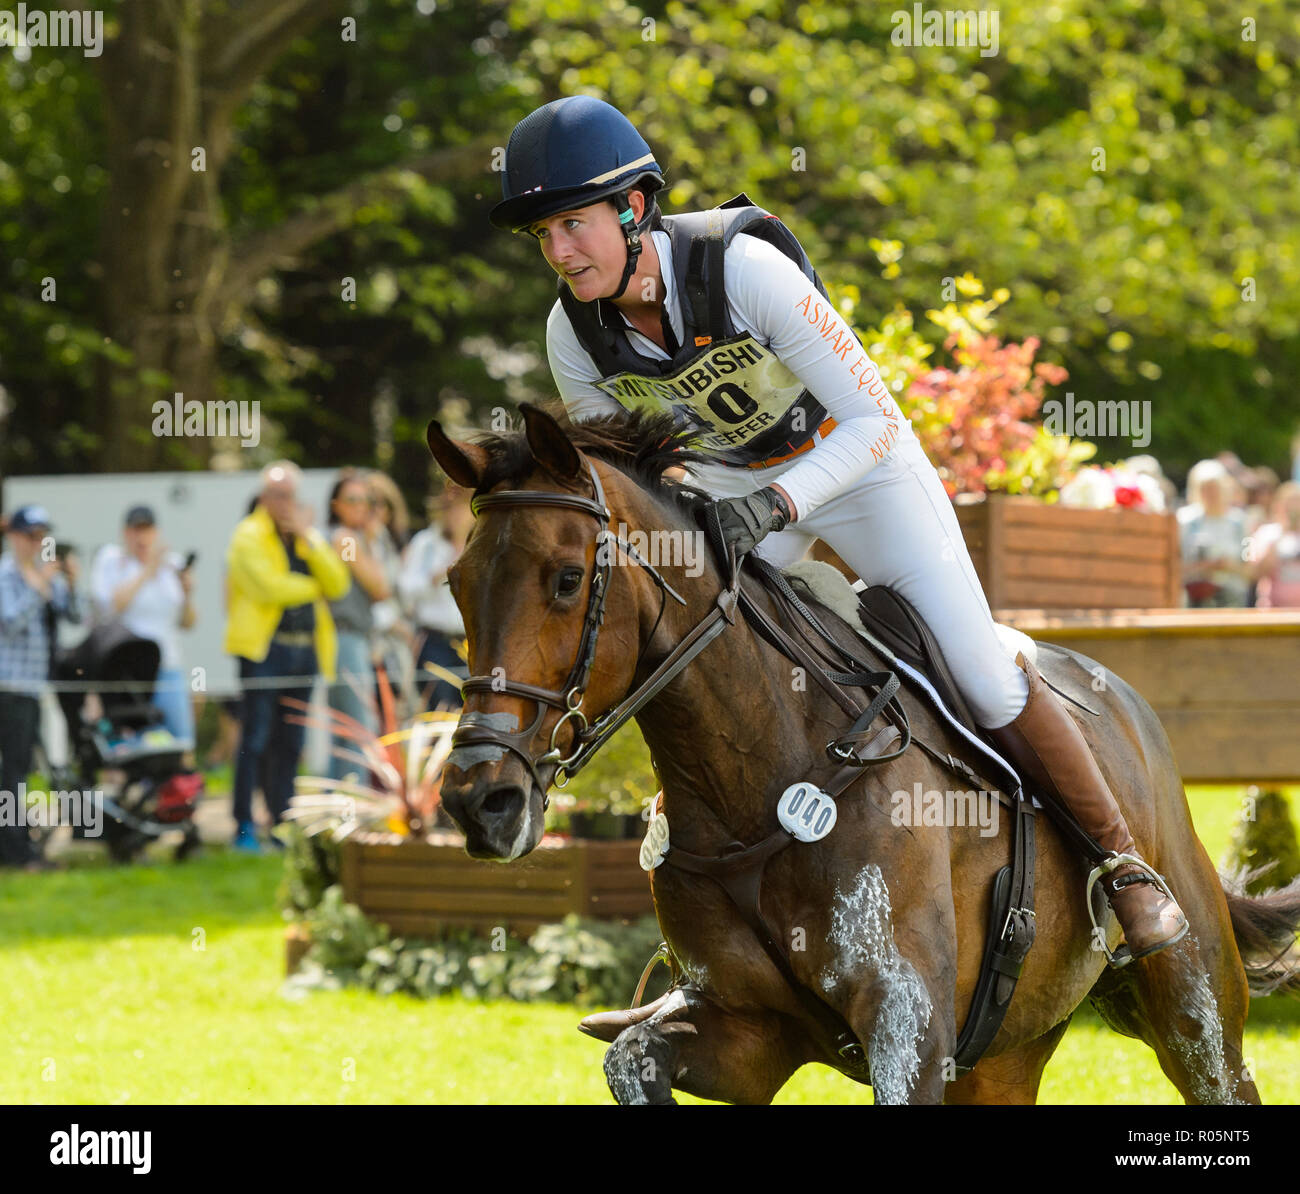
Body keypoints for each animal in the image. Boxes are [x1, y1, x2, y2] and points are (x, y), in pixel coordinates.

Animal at [428, 405, 1300, 1108]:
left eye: (567, 579)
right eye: (456, 584)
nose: (479, 800)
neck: (753, 770)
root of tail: (1122, 699)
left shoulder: (906, 1030)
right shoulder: (746, 1032)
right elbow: (632, 1057)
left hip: (1196, 1017)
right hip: (1004, 1056)